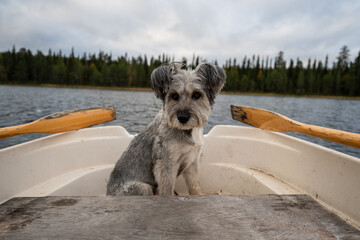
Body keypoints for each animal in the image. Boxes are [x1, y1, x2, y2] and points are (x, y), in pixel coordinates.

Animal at [105, 62, 226, 195]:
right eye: (174, 96)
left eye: (196, 95)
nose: (182, 118)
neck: (186, 130)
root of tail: (108, 193)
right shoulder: (166, 166)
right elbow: (167, 190)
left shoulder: (192, 163)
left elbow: (195, 186)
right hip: (143, 188)